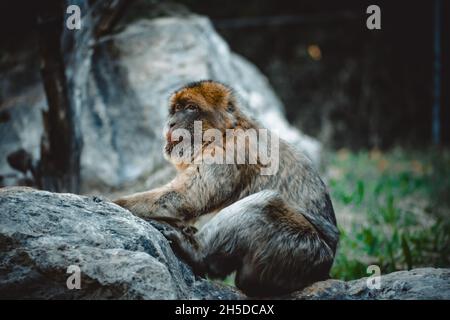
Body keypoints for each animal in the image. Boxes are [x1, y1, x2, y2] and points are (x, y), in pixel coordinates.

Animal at [114, 80, 340, 298]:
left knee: (264, 204)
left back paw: (197, 253)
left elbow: (187, 198)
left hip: (298, 250)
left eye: (191, 108)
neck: (225, 131)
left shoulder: (229, 152)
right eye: (177, 108)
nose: (171, 123)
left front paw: (114, 203)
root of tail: (324, 268)